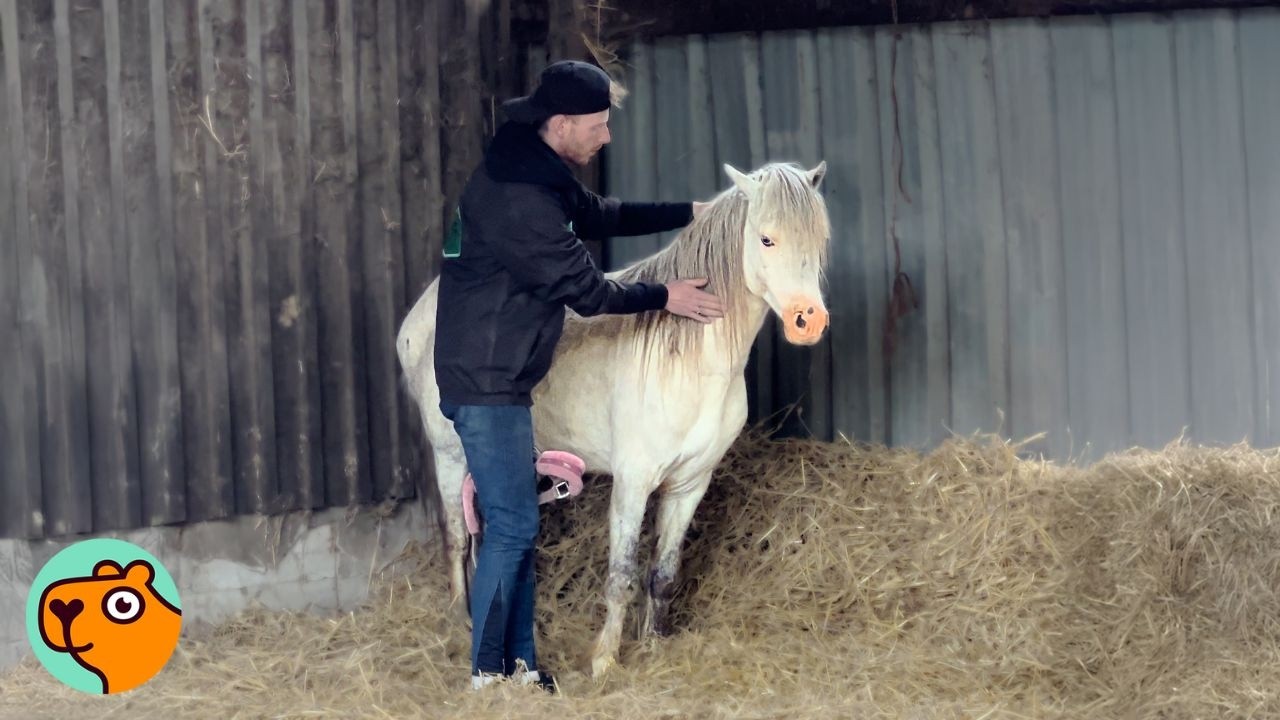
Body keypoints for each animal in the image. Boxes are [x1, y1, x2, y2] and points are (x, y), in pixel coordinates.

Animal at [396, 160, 832, 677]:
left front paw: (654, 644)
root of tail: (420, 315)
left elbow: (663, 573)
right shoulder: (632, 483)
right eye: (766, 239)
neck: (689, 358)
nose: (809, 320)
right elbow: (622, 574)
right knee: (458, 540)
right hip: (449, 456)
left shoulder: (689, 485)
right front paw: (605, 660)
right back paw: (459, 625)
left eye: (820, 238)